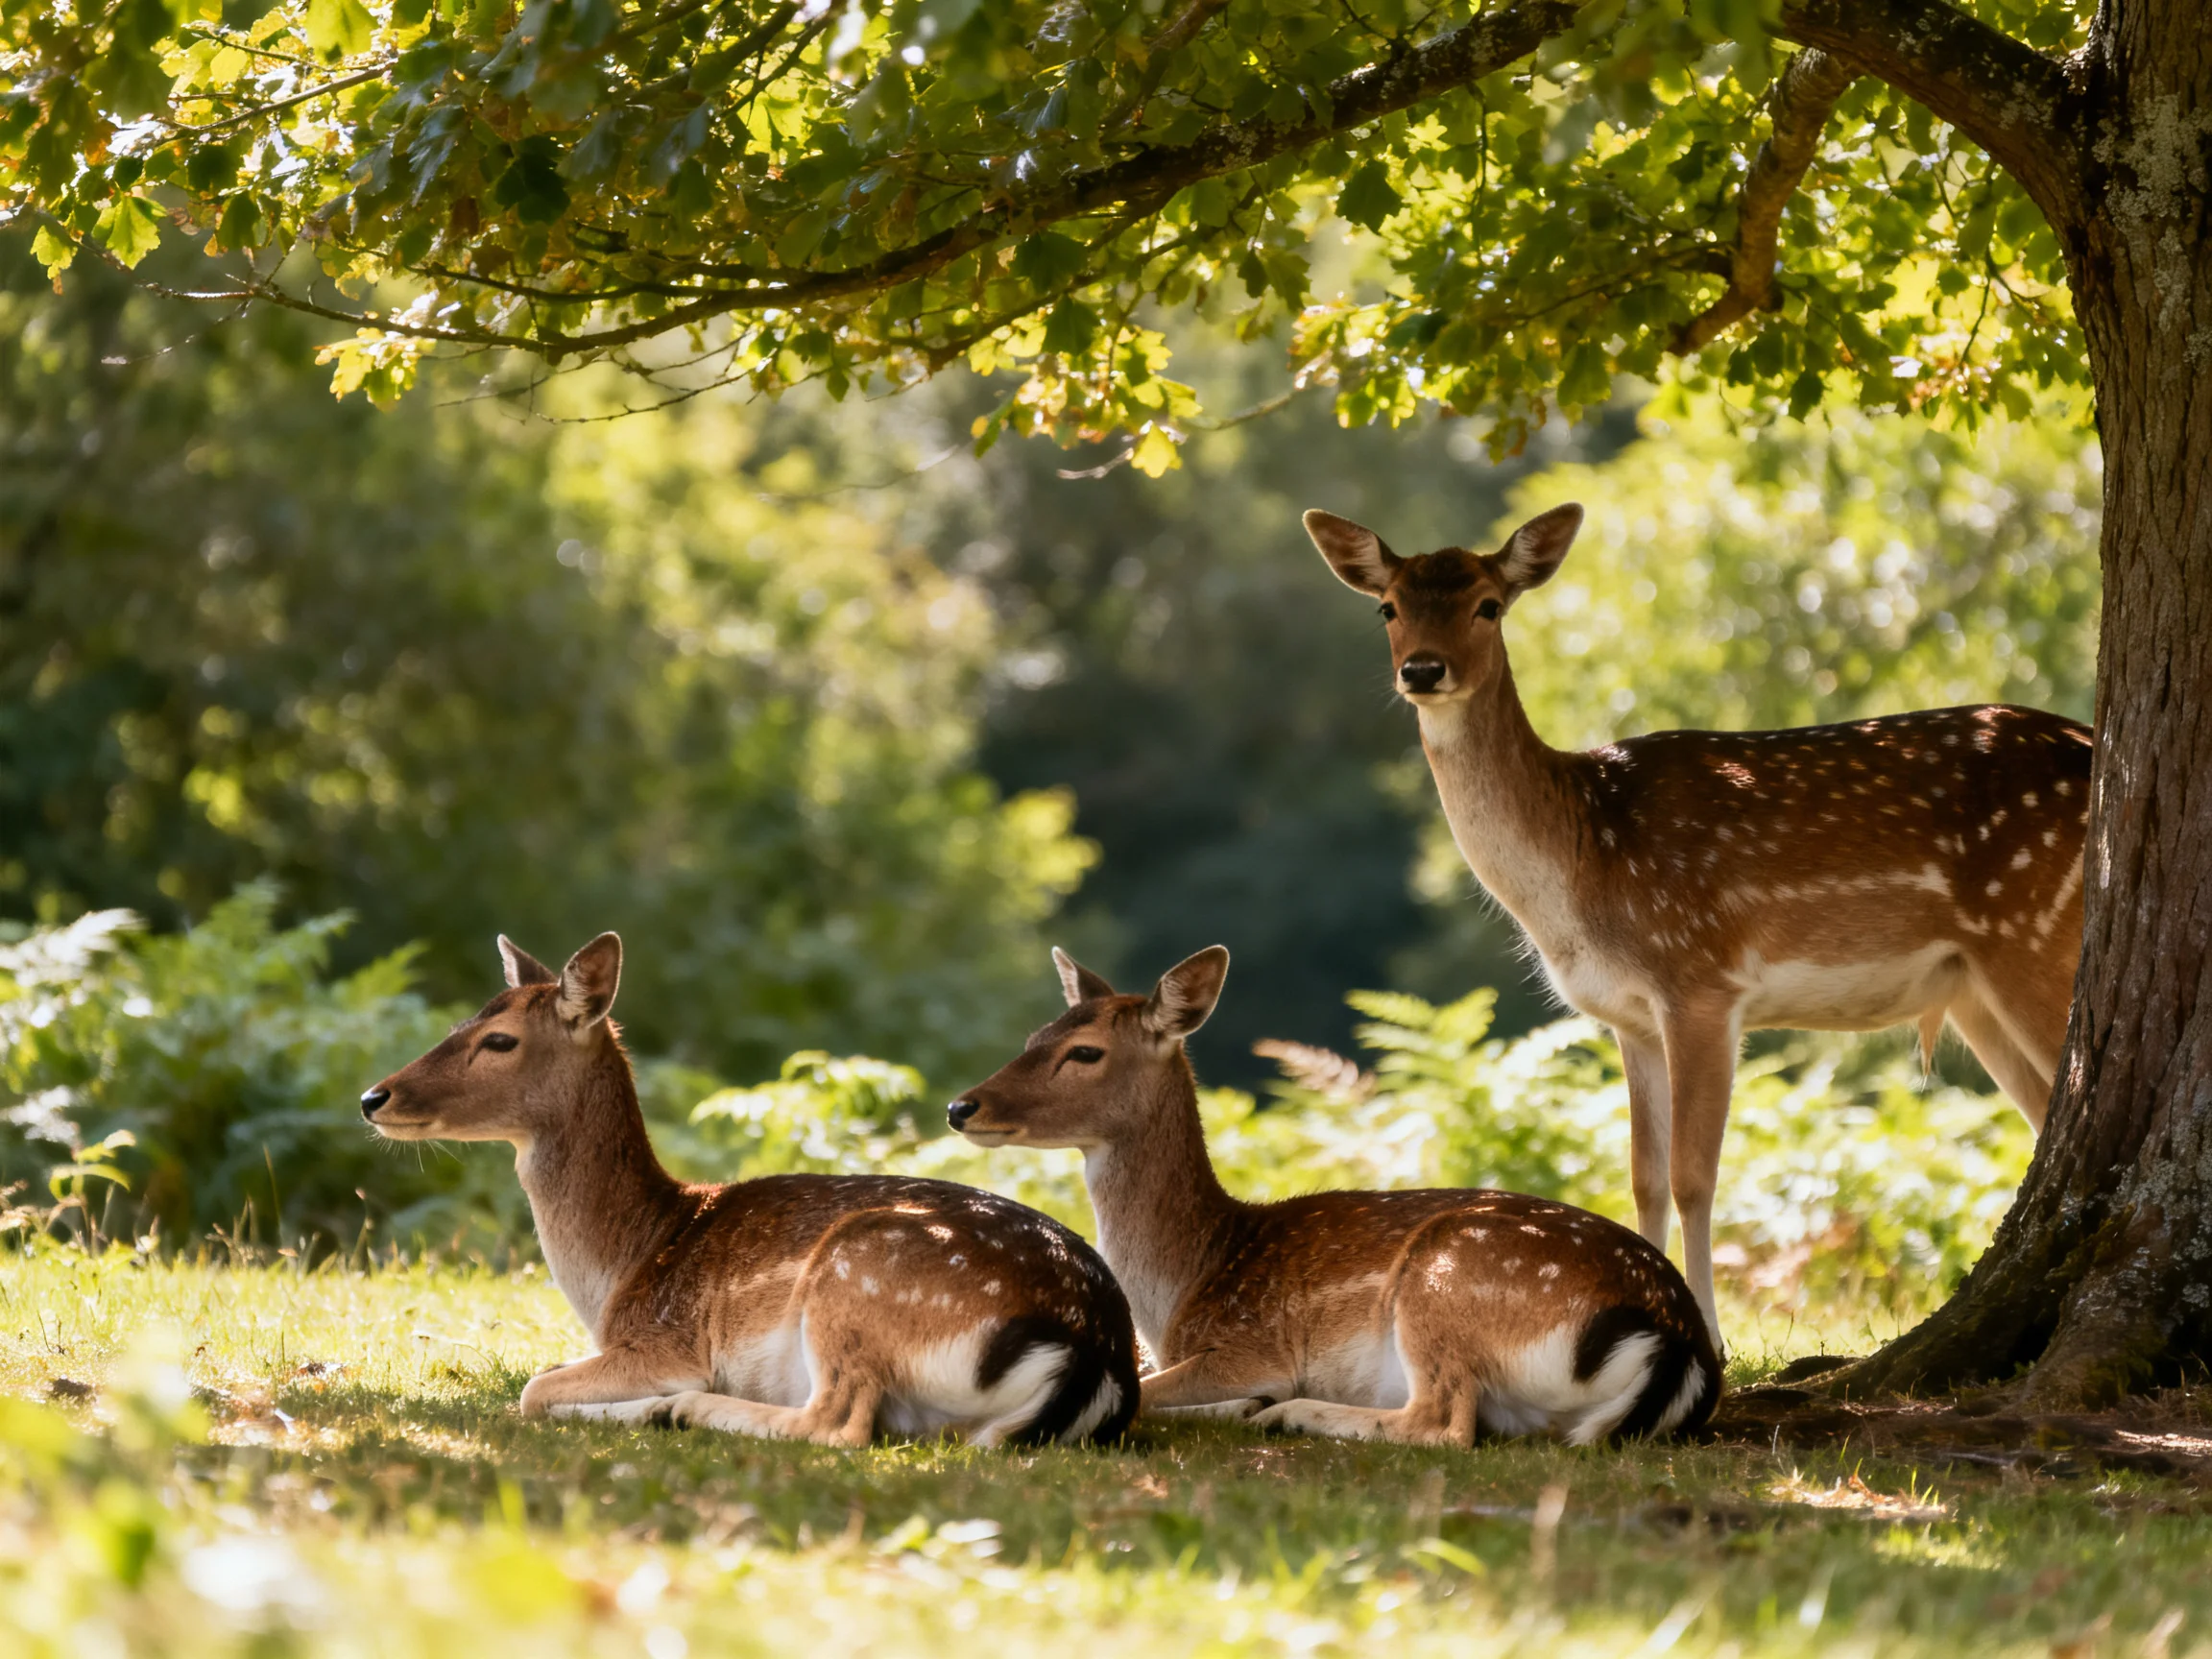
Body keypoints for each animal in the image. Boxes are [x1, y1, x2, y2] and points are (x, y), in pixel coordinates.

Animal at [359, 932, 1138, 1448]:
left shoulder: (666, 1341)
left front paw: (660, 1403)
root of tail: (1090, 1352)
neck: (623, 1270)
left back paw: (687, 1410)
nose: (373, 1096)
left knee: (840, 1423)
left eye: (499, 1040)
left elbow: (533, 1387)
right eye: (462, 1021)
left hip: (859, 1274)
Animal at [947, 946, 1721, 1447]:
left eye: (1085, 1052)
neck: (1184, 1290)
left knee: (1443, 1425)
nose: (962, 1106)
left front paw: (1251, 1404)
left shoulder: (1251, 1344)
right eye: (1034, 1035)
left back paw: (1287, 1415)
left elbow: (1149, 1393)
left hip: (1445, 1280)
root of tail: (1676, 1342)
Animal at [1305, 501, 2092, 1346]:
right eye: (1389, 607)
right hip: (1975, 990)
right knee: (2043, 1115)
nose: (1423, 670)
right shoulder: (1629, 1016)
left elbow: (1693, 1175)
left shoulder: (1701, 981)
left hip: (2033, 934)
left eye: (1488, 605)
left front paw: (1709, 1335)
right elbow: (1643, 1177)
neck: (1583, 862)